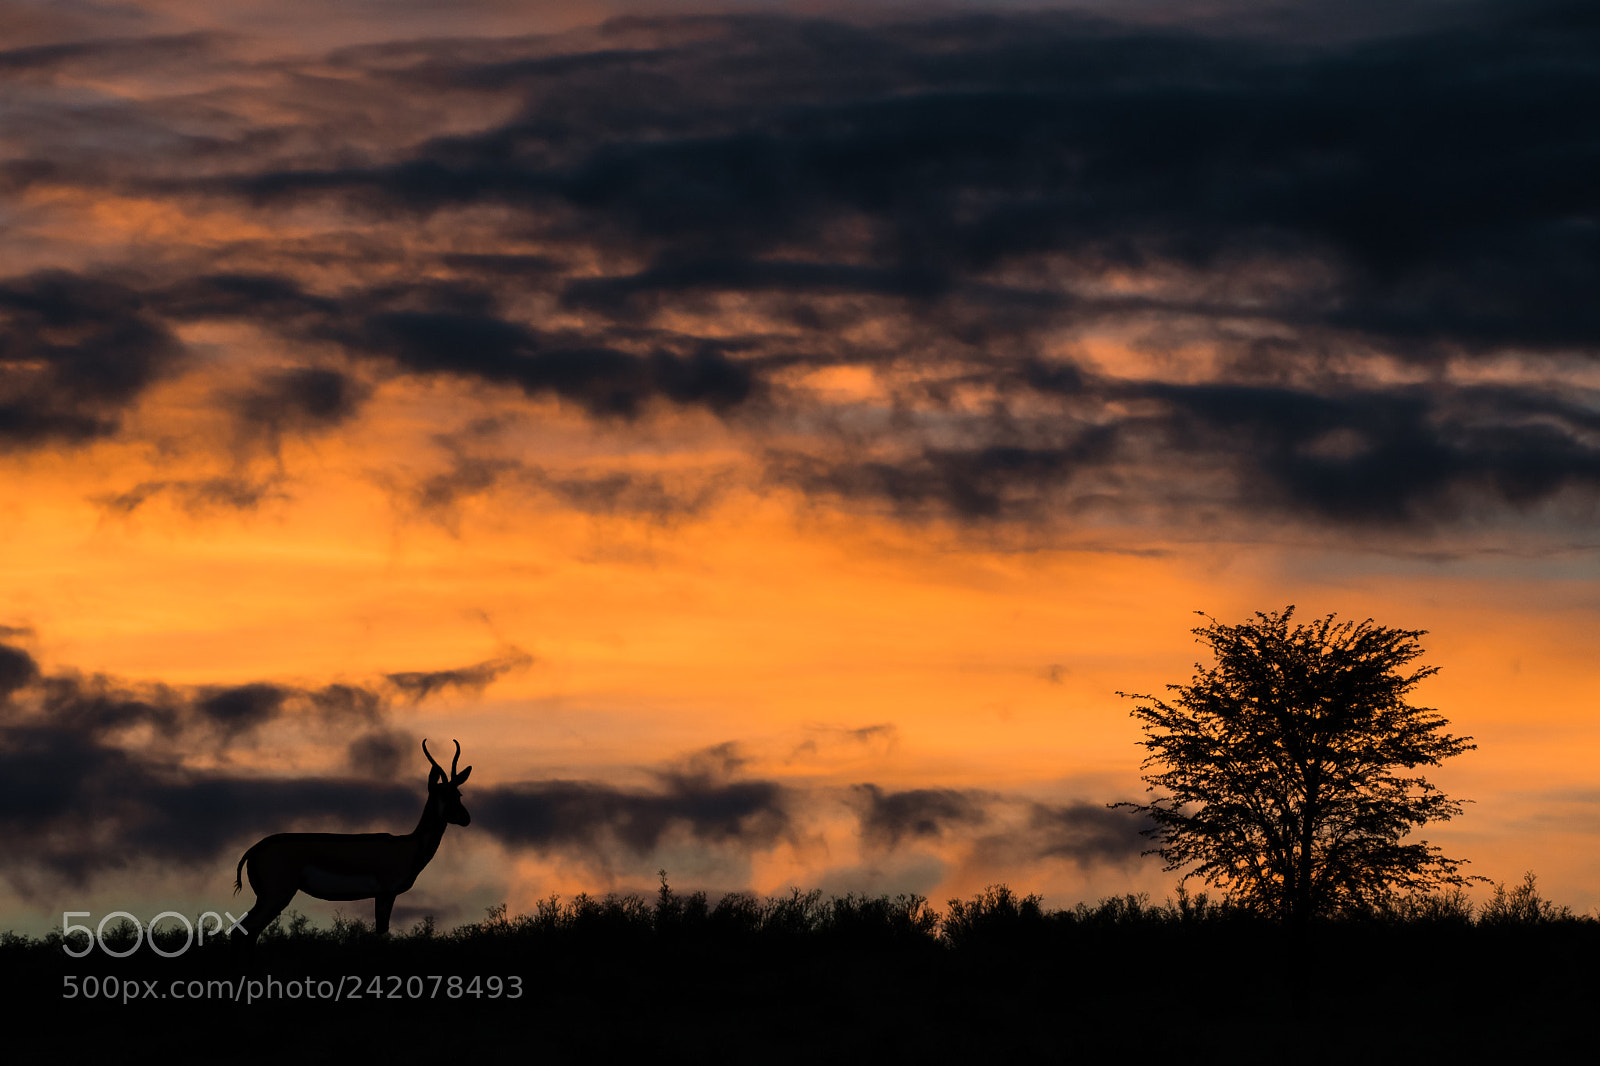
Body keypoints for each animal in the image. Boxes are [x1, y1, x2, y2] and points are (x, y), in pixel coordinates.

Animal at [231, 739, 471, 947]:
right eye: (442, 795)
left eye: (458, 793)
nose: (466, 818)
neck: (408, 846)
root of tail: (254, 849)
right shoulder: (386, 894)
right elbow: (381, 933)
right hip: (275, 896)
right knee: (242, 931)